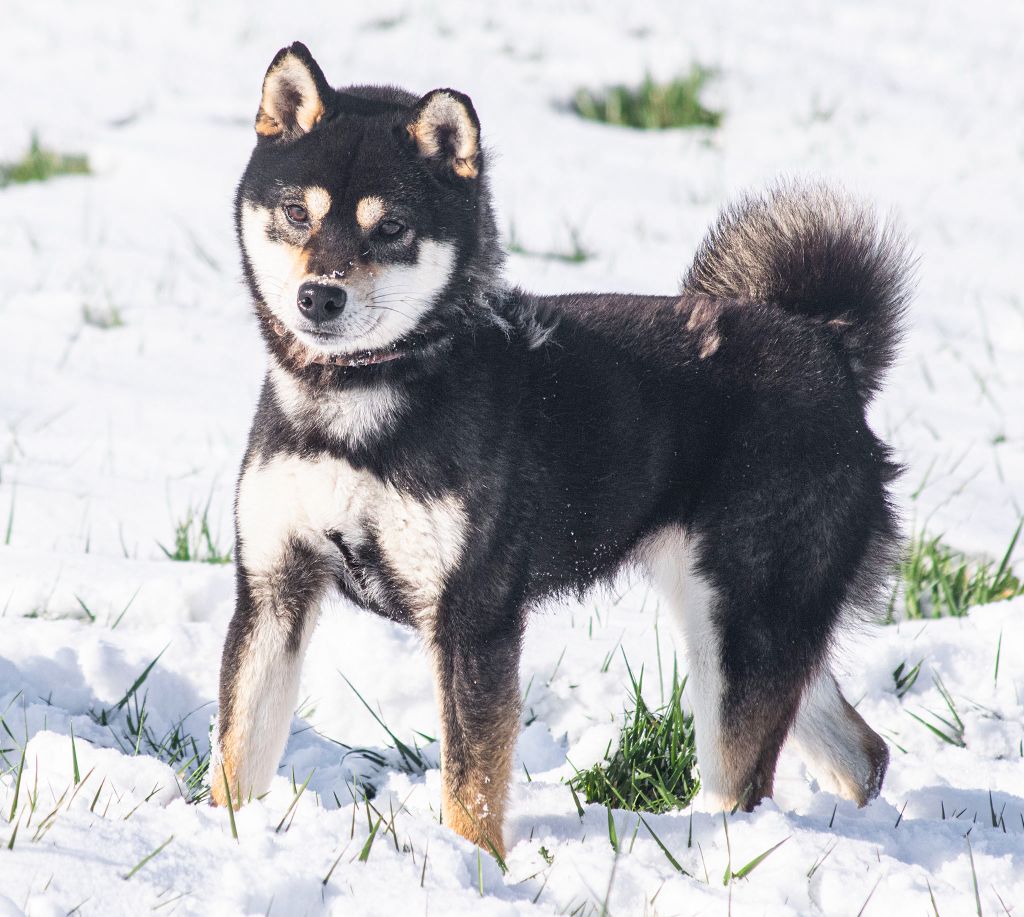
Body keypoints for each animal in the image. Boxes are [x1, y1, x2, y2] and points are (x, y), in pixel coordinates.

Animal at [209, 42, 913, 859]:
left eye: (391, 228)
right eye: (298, 213)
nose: (320, 296)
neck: (356, 407)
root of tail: (829, 349)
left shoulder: (473, 618)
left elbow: (470, 788)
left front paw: (473, 868)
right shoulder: (271, 587)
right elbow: (237, 756)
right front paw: (219, 836)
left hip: (744, 626)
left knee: (747, 784)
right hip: (734, 620)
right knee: (861, 749)